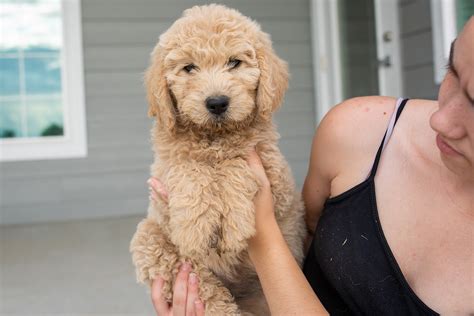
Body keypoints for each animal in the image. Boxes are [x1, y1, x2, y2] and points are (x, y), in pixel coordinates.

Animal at [131, 4, 306, 314]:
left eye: (234, 62)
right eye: (189, 68)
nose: (217, 103)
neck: (215, 136)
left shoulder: (274, 173)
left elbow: (235, 163)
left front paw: (234, 224)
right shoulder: (165, 170)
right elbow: (190, 168)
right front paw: (197, 228)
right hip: (151, 239)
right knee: (202, 284)